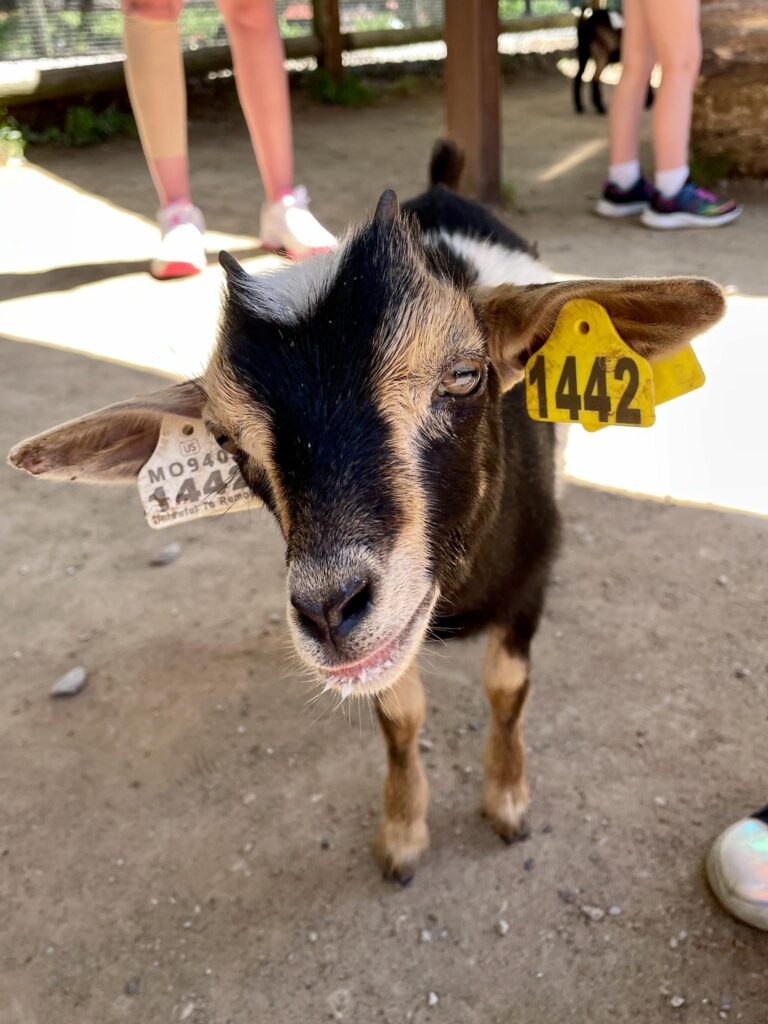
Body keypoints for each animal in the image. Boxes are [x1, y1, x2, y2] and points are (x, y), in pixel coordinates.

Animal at [9, 141, 724, 884]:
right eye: (228, 441)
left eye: (464, 375)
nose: (329, 610)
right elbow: (401, 716)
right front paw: (403, 834)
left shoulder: (533, 575)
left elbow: (506, 687)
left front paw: (507, 802)